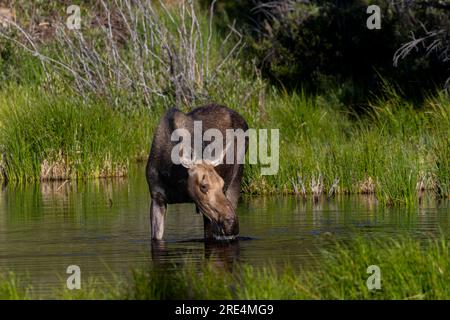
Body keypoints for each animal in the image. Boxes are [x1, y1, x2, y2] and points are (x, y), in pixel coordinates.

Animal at [146, 104, 248, 240]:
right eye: (203, 186)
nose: (232, 224)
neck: (174, 179)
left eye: (221, 184)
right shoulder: (157, 198)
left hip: (236, 178)